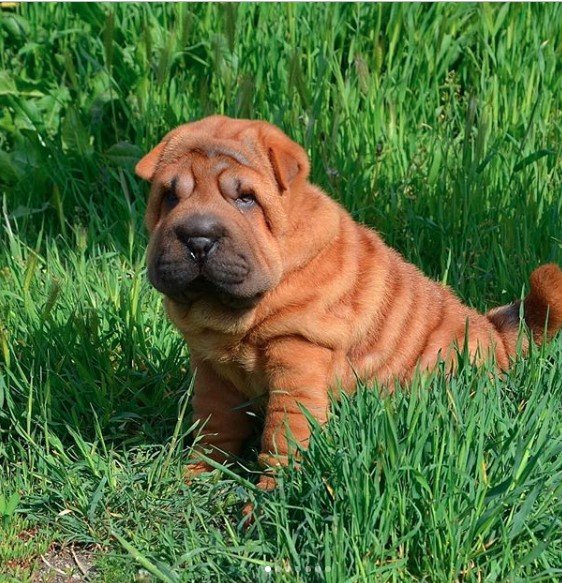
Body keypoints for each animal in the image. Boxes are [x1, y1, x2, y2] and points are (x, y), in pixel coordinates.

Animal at [136, 116, 560, 496]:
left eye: (245, 198)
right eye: (170, 196)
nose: (198, 238)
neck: (231, 315)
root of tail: (496, 334)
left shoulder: (299, 356)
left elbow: (283, 434)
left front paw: (271, 498)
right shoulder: (210, 368)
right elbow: (213, 425)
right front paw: (195, 477)